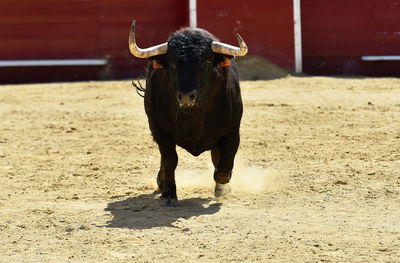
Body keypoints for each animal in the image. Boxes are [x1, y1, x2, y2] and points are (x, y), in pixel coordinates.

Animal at [129, 21, 247, 206]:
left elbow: (225, 160)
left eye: (205, 63)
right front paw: (169, 194)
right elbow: (170, 159)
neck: (193, 115)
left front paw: (222, 185)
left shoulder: (233, 131)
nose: (186, 96)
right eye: (172, 64)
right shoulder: (159, 130)